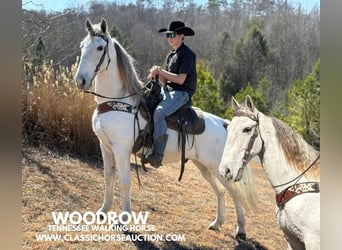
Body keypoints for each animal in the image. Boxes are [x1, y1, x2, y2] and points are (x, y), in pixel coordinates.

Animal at [74, 18, 256, 238]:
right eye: (82, 46)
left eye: (100, 47)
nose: (80, 81)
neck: (118, 101)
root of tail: (225, 125)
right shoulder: (105, 146)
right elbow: (108, 177)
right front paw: (103, 211)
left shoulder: (121, 149)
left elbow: (124, 183)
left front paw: (123, 220)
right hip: (203, 166)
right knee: (220, 191)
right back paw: (217, 223)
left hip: (219, 168)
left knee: (235, 193)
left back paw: (241, 229)